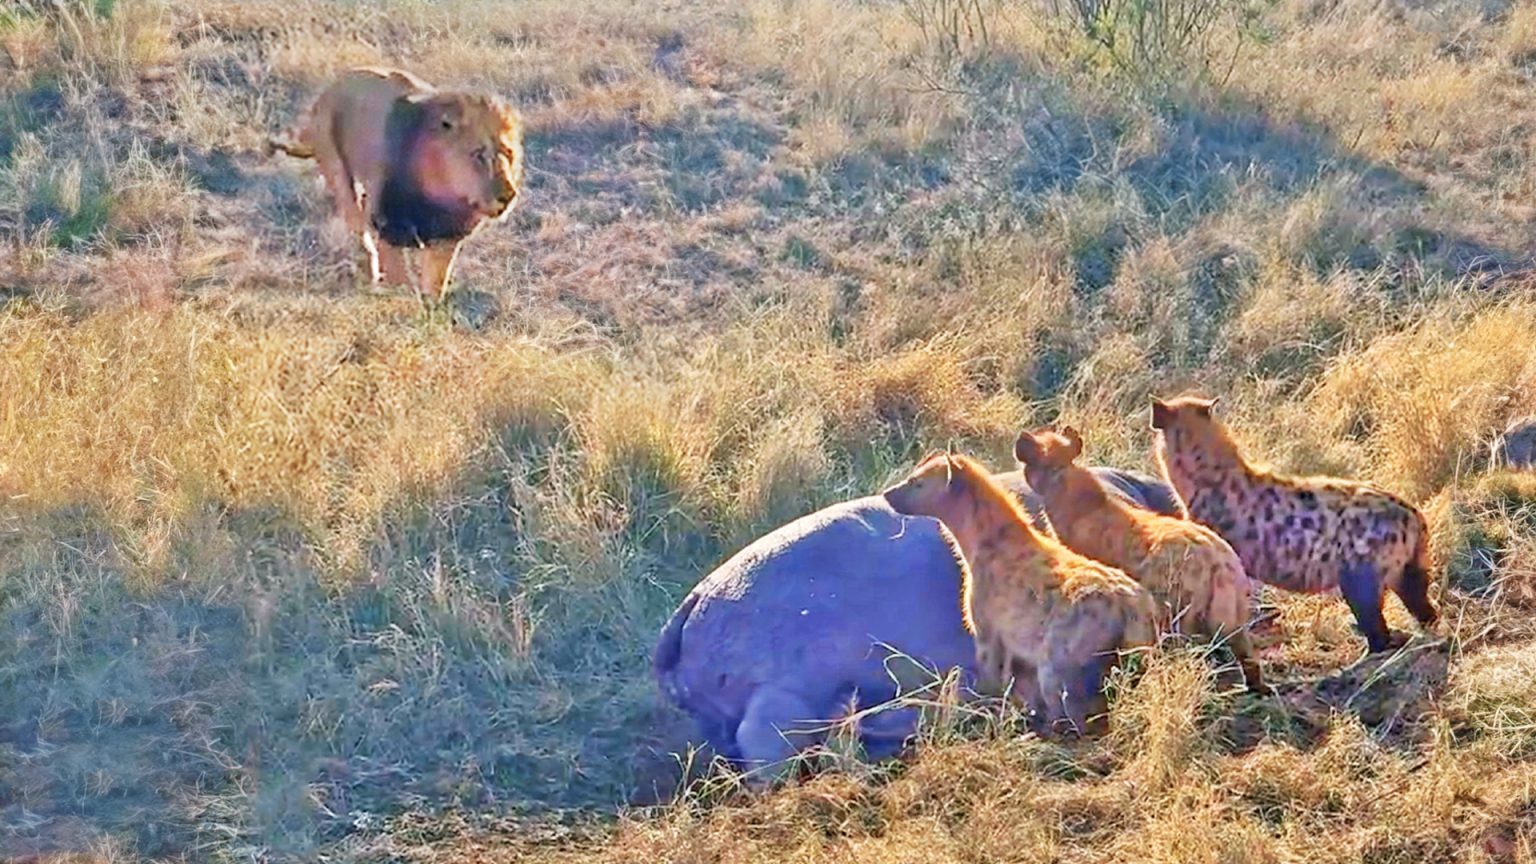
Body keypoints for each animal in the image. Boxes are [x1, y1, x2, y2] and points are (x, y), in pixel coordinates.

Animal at [267, 66, 525, 299]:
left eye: (508, 154)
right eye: (478, 155)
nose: (508, 195)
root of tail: (327, 91)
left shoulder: (447, 238)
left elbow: (435, 285)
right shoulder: (388, 226)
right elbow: (399, 279)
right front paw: (400, 300)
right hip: (336, 166)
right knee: (357, 223)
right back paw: (368, 271)